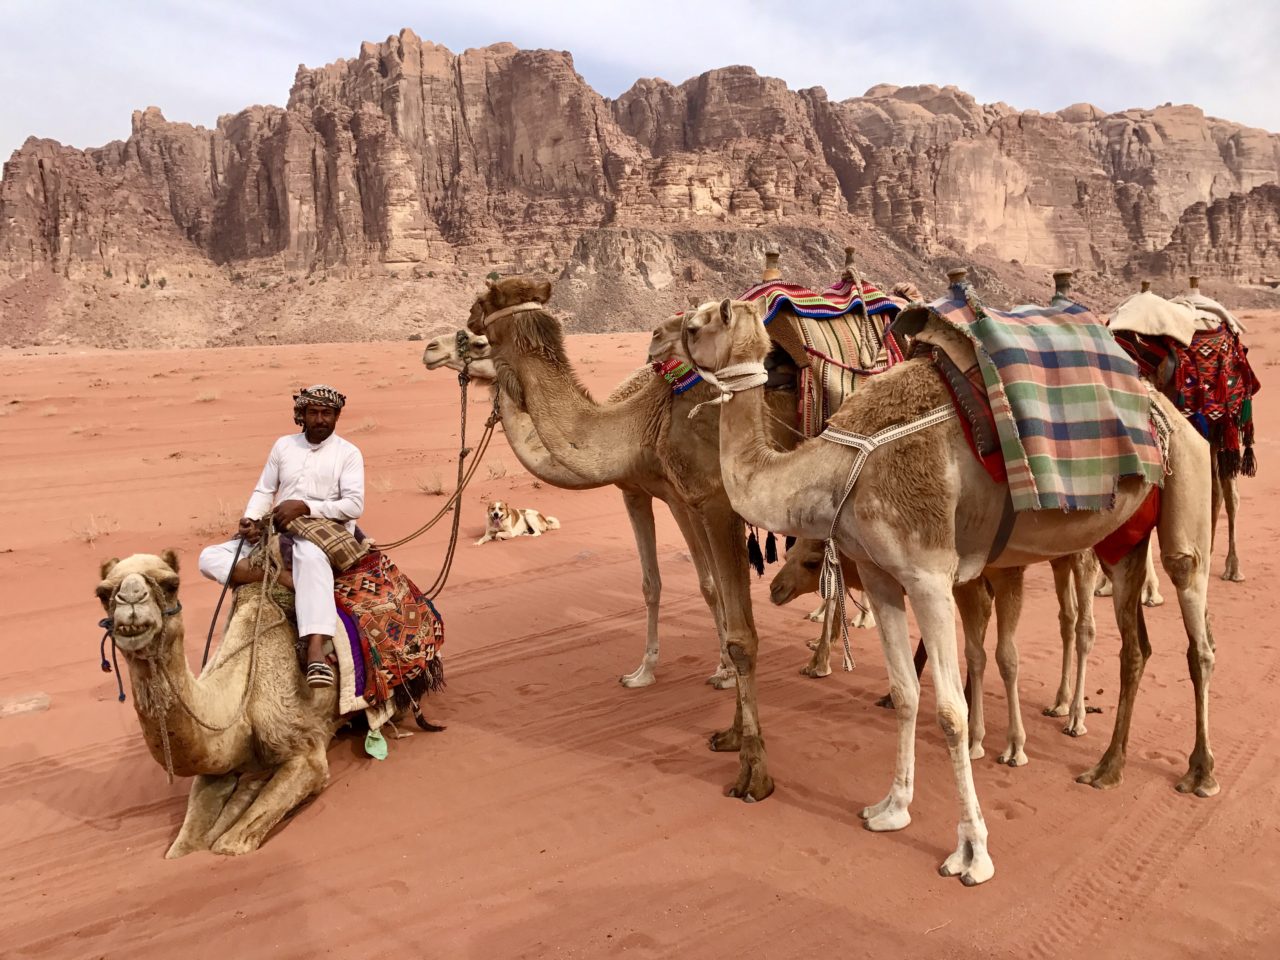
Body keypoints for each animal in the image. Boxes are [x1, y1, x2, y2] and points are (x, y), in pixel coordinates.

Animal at [95, 551, 341, 857]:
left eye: (171, 584)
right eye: (103, 593)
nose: (131, 599)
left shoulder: (305, 750)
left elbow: (229, 845)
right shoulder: (215, 765)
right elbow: (182, 847)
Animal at [422, 330, 737, 689]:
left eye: (479, 342)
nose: (430, 348)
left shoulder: (682, 498)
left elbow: (710, 583)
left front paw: (726, 670)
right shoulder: (634, 493)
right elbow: (651, 584)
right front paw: (642, 673)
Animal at [682, 288, 1218, 885]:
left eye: (701, 322)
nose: (670, 340)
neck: (840, 466)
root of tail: (1171, 413)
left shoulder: (929, 573)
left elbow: (951, 712)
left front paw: (972, 852)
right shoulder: (879, 574)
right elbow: (905, 692)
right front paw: (891, 808)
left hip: (1186, 486)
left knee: (1196, 628)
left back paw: (1199, 772)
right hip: (1123, 539)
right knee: (1136, 646)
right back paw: (1107, 767)